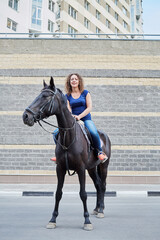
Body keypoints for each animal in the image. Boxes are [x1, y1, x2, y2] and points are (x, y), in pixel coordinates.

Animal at [22, 77, 110, 231]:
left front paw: (87, 221)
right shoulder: (60, 168)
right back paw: (96, 209)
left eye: (45, 97)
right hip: (92, 168)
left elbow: (83, 194)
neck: (69, 136)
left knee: (103, 185)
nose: (26, 116)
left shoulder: (81, 169)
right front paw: (52, 219)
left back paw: (101, 210)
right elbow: (58, 193)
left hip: (103, 166)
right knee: (98, 185)